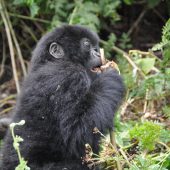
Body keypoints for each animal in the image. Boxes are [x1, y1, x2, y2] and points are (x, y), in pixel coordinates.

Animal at [0, 25, 125, 170]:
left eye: (96, 47)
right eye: (87, 44)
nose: (98, 53)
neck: (52, 61)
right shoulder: (68, 76)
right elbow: (77, 134)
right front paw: (109, 78)